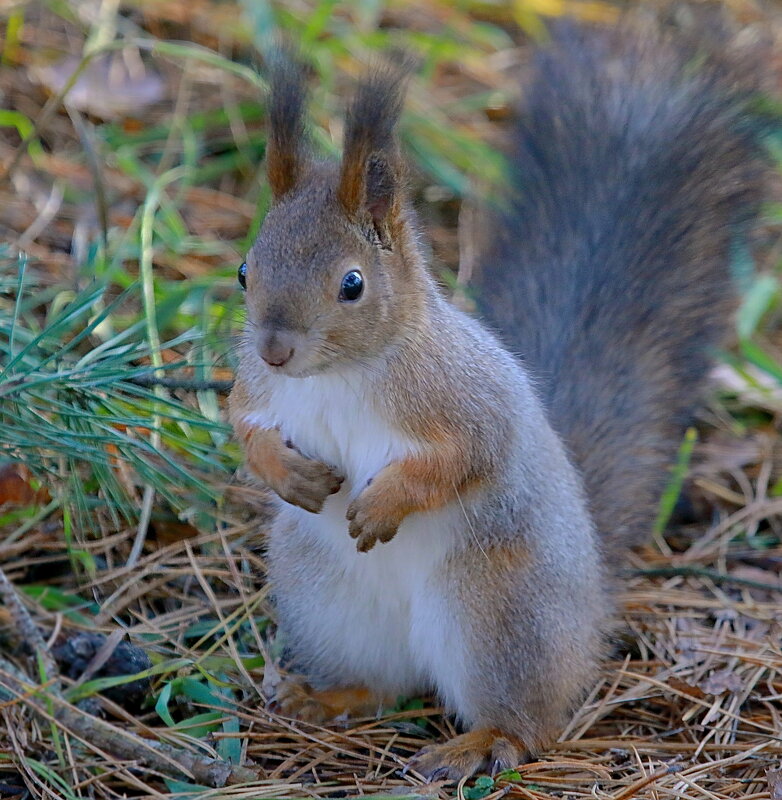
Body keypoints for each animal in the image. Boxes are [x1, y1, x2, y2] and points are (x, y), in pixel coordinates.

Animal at [228, 23, 764, 780]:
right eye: (246, 270)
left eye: (352, 284)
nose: (276, 348)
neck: (339, 373)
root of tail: (591, 604)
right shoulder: (259, 388)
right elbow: (243, 426)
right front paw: (290, 476)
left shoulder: (463, 397)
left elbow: (465, 458)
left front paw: (383, 503)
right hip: (330, 605)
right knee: (385, 684)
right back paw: (327, 698)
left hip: (499, 614)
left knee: (531, 720)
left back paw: (485, 742)